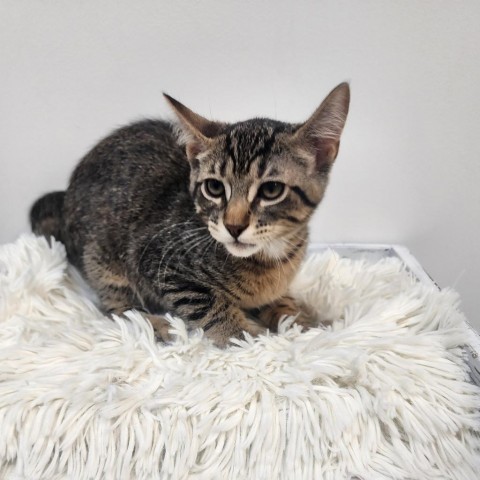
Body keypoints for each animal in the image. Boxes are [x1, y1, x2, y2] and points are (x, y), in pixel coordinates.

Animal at [29, 81, 348, 344]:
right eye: (214, 187)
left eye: (271, 190)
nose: (233, 226)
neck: (269, 257)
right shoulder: (160, 262)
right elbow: (209, 305)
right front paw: (250, 337)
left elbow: (283, 303)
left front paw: (305, 322)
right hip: (102, 255)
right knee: (117, 308)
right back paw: (154, 324)